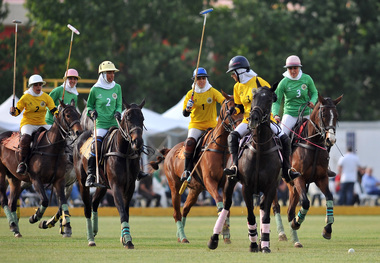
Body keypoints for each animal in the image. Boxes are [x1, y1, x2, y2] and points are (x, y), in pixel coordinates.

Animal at [0, 100, 82, 238]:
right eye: (68, 115)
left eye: (79, 115)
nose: (79, 132)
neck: (52, 148)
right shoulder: (35, 179)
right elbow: (45, 201)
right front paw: (35, 217)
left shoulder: (60, 181)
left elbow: (63, 203)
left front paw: (65, 228)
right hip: (2, 174)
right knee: (4, 200)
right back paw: (13, 224)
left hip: (14, 178)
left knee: (12, 201)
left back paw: (15, 228)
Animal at [73, 100, 145, 249]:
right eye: (128, 118)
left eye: (142, 119)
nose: (138, 142)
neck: (124, 151)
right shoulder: (116, 185)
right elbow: (122, 211)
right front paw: (127, 240)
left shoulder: (130, 187)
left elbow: (126, 211)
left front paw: (124, 238)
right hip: (82, 183)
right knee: (87, 208)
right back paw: (90, 238)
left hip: (102, 185)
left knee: (94, 203)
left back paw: (94, 230)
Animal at [148, 91, 240, 243]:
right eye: (231, 109)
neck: (220, 148)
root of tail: (169, 151)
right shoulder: (209, 181)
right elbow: (220, 203)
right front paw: (223, 230)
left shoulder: (226, 183)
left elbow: (227, 207)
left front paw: (226, 234)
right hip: (174, 187)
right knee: (176, 213)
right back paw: (183, 237)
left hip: (195, 190)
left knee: (185, 209)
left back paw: (179, 236)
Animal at [208, 85, 282, 254]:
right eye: (254, 98)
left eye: (270, 100)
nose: (253, 118)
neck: (260, 150)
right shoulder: (246, 187)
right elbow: (250, 217)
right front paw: (253, 245)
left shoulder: (271, 187)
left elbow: (265, 216)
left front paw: (264, 245)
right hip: (230, 182)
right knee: (226, 205)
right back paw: (214, 239)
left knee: (262, 208)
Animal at [272, 94, 342, 249]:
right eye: (323, 114)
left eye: (336, 116)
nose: (331, 139)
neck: (313, 145)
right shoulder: (299, 178)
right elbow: (305, 202)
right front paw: (297, 223)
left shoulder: (322, 178)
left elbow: (329, 198)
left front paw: (327, 229)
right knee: (275, 206)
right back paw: (280, 234)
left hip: (292, 187)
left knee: (290, 210)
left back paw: (296, 240)